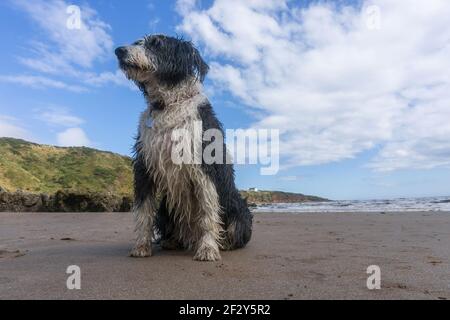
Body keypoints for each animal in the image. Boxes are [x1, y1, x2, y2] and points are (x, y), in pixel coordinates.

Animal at [115, 34, 253, 260]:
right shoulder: (145, 165)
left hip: (237, 208)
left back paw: (223, 243)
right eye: (137, 42)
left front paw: (208, 249)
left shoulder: (204, 166)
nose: (119, 51)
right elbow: (144, 210)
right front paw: (141, 246)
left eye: (156, 44)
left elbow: (207, 211)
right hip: (165, 209)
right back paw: (171, 241)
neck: (168, 105)